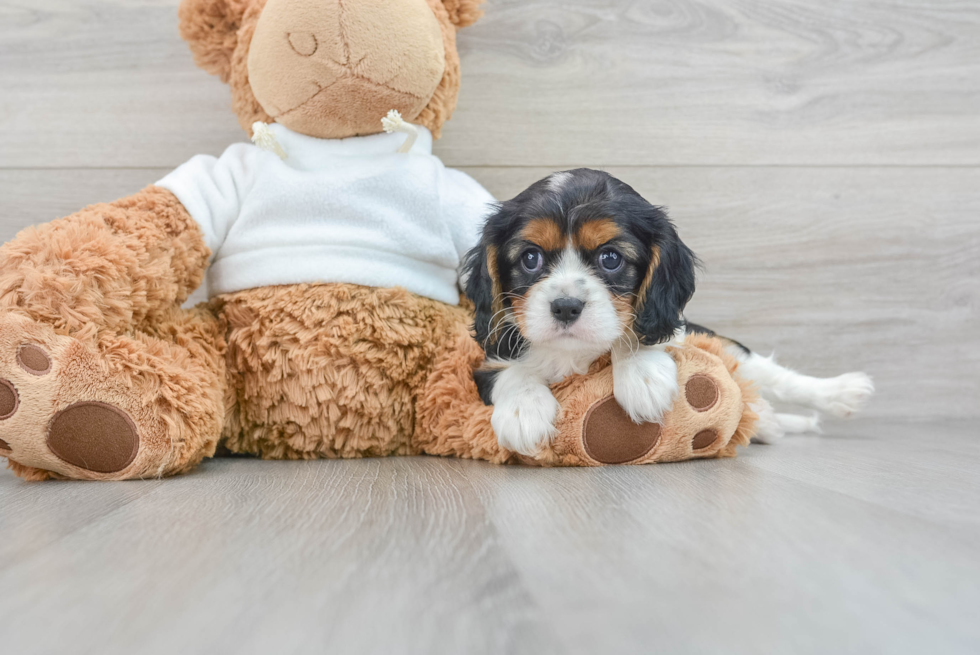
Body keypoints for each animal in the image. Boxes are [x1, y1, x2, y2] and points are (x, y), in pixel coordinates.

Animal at [460, 169, 872, 456]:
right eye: (530, 258)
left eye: (611, 258)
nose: (565, 306)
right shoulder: (486, 359)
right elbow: (509, 373)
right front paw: (523, 412)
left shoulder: (676, 327)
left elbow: (639, 336)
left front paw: (640, 375)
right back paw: (771, 421)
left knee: (771, 375)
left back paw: (841, 393)